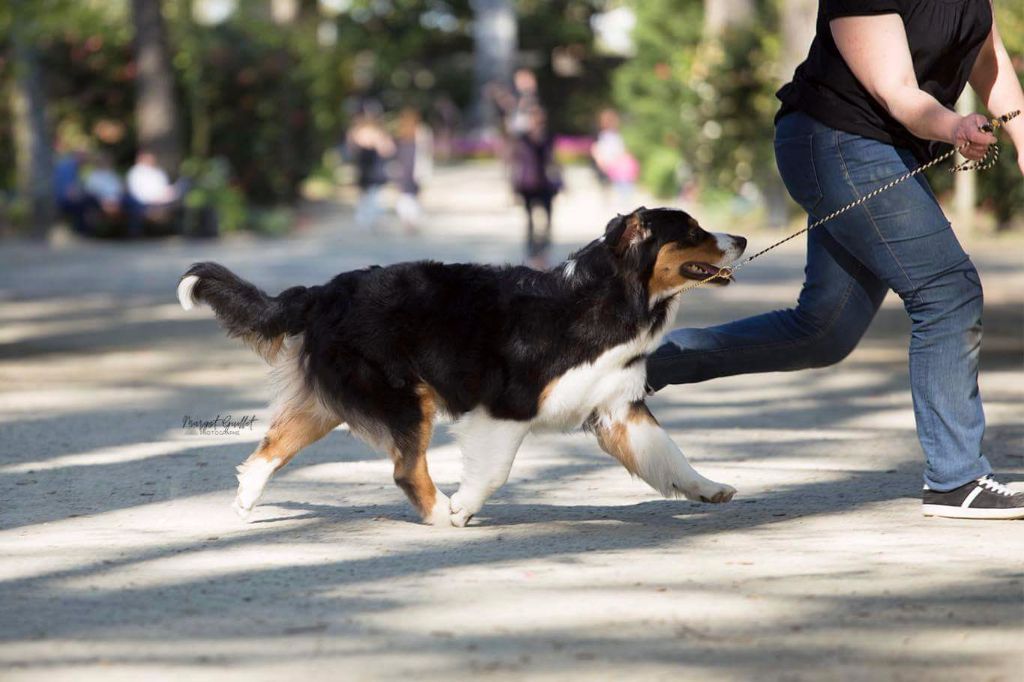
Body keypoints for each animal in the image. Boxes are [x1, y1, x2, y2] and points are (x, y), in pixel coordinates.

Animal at [178, 206, 745, 524]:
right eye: (691, 230)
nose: (740, 239)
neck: (610, 298)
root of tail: (322, 290)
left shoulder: (618, 408)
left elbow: (668, 454)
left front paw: (708, 488)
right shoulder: (506, 406)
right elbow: (494, 471)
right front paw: (461, 508)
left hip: (333, 401)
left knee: (269, 448)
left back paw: (245, 502)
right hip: (405, 397)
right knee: (406, 468)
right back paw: (438, 517)